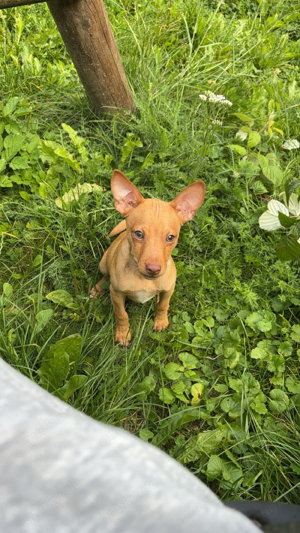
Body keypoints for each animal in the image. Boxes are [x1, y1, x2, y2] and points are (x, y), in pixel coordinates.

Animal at [90, 170, 205, 344]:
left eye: (170, 237)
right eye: (138, 234)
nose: (153, 269)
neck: (144, 280)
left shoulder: (169, 289)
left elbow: (163, 305)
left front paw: (161, 321)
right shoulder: (116, 294)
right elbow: (121, 314)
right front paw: (123, 334)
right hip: (103, 263)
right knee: (104, 277)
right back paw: (97, 289)